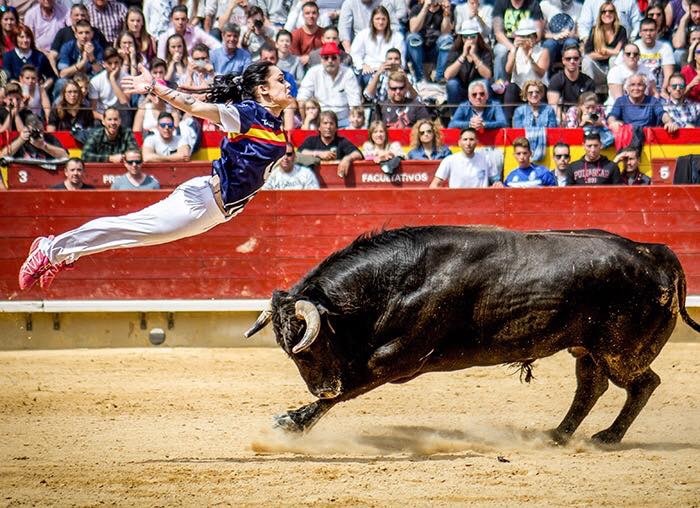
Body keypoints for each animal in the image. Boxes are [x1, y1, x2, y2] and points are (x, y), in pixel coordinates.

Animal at [246, 227, 700, 444]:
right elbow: (350, 386)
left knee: (643, 383)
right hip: (586, 348)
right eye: (291, 354)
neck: (399, 279)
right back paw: (558, 435)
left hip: (621, 350)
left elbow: (355, 383)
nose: (323, 387)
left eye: (306, 348)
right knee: (591, 386)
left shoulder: (399, 359)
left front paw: (289, 422)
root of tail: (655, 251)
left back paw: (607, 437)